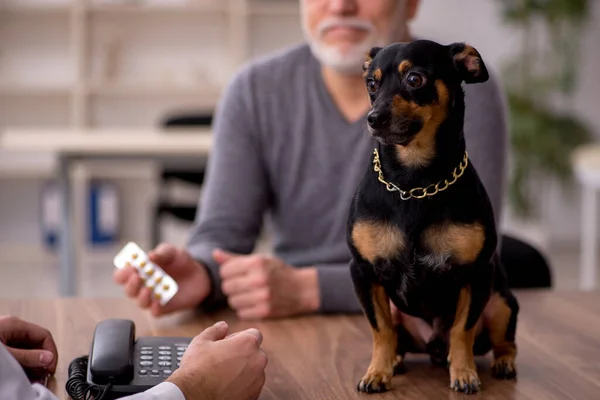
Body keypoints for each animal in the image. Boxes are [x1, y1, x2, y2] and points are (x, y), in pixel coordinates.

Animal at [346, 39, 520, 396]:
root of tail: (432, 347)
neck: (414, 182)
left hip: (502, 301)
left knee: (503, 341)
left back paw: (502, 363)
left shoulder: (477, 273)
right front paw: (377, 372)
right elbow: (381, 331)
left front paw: (464, 374)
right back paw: (395, 362)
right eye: (371, 84)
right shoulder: (364, 272)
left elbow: (462, 330)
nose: (373, 118)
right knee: (397, 338)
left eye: (415, 79)